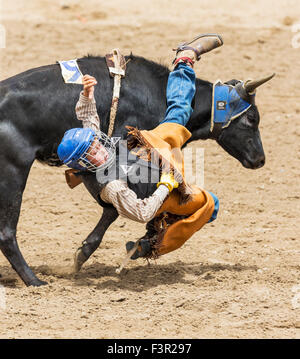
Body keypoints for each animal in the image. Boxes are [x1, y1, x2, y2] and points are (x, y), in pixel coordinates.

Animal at [0, 55, 268, 286]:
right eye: (252, 119)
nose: (260, 159)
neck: (159, 93)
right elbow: (114, 209)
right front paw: (84, 254)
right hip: (14, 171)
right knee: (6, 232)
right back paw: (34, 281)